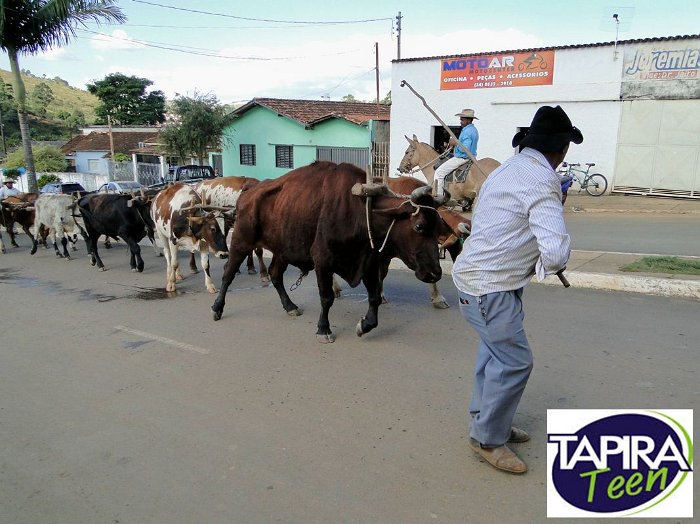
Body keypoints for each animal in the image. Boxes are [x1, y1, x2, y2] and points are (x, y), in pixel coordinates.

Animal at [211, 163, 446, 344]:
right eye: (419, 226)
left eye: (438, 227)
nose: (435, 273)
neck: (361, 211)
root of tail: (249, 189)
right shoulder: (322, 261)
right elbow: (327, 297)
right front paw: (323, 329)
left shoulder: (368, 263)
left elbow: (374, 298)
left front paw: (364, 325)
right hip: (241, 241)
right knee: (228, 273)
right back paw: (217, 308)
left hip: (282, 249)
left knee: (275, 274)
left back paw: (290, 306)